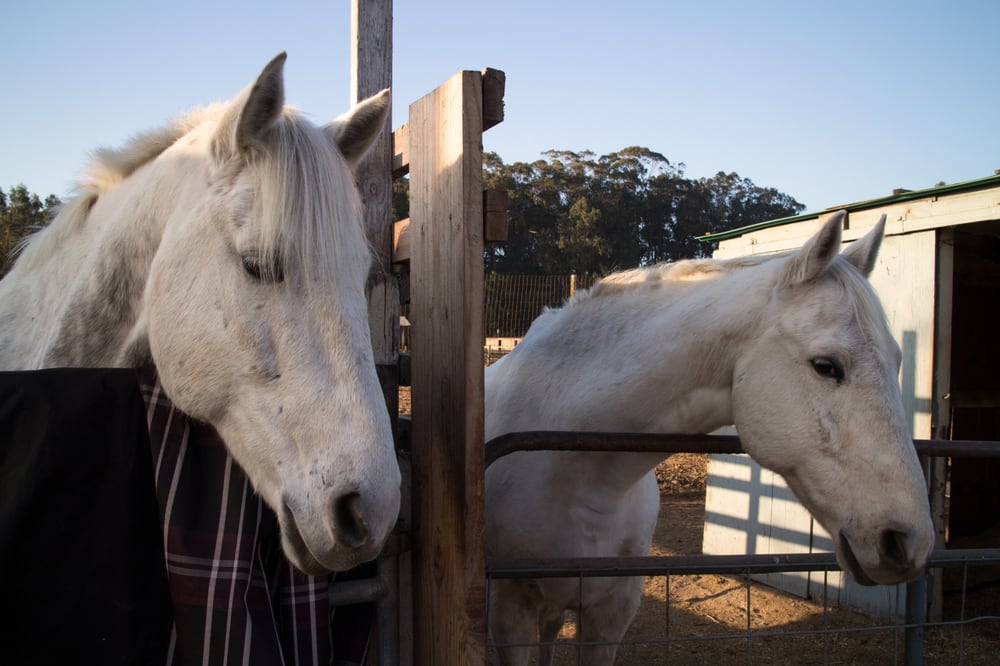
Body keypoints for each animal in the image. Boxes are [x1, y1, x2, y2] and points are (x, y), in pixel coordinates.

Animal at [484, 211, 935, 665]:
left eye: (897, 360)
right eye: (826, 366)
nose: (908, 542)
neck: (578, 473)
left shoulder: (610, 613)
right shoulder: (509, 612)